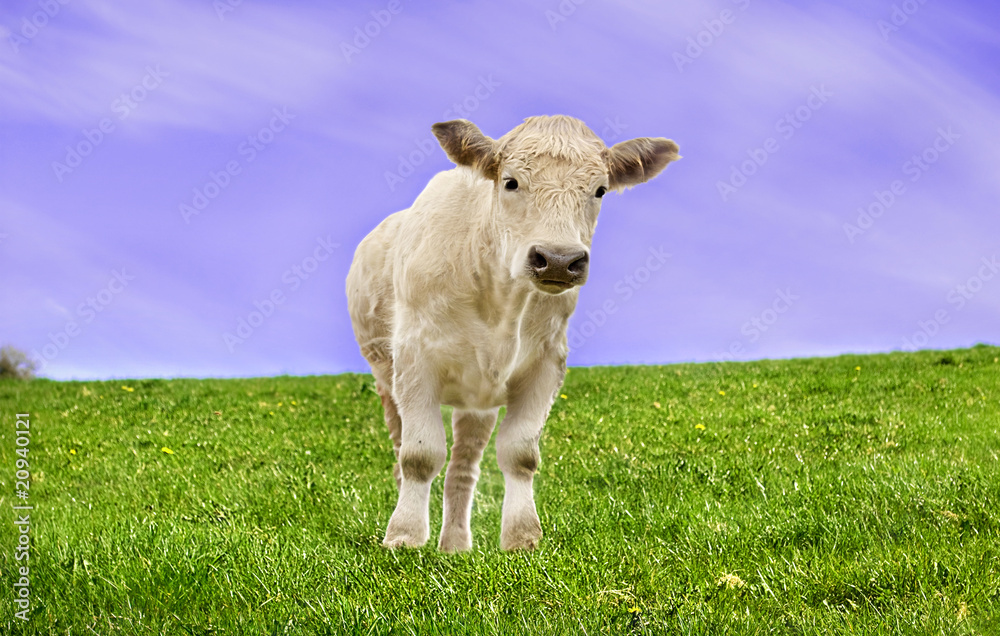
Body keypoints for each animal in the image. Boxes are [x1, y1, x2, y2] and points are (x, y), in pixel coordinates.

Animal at [346, 115, 679, 551]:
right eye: (511, 182)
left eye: (600, 190)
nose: (558, 260)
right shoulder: (415, 358)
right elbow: (420, 455)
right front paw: (404, 536)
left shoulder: (546, 363)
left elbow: (520, 453)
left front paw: (522, 536)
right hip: (386, 378)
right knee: (403, 448)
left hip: (478, 402)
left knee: (463, 468)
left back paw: (455, 545)